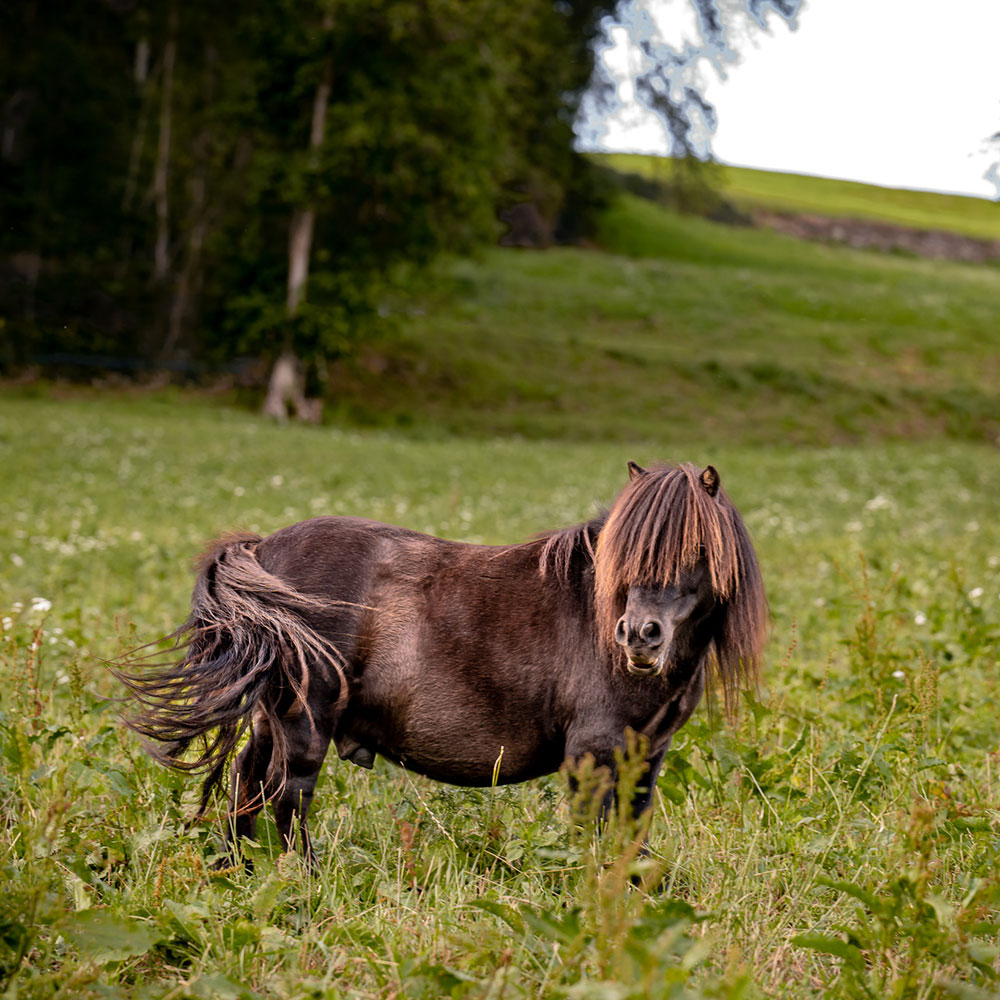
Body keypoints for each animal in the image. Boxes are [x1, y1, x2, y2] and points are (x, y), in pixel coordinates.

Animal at [121, 460, 768, 860]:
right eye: (627, 552)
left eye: (700, 549)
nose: (639, 636)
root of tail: (263, 550)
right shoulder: (593, 752)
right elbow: (592, 834)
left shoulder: (646, 757)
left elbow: (631, 837)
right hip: (306, 721)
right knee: (289, 795)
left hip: (270, 718)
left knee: (247, 784)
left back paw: (238, 875)